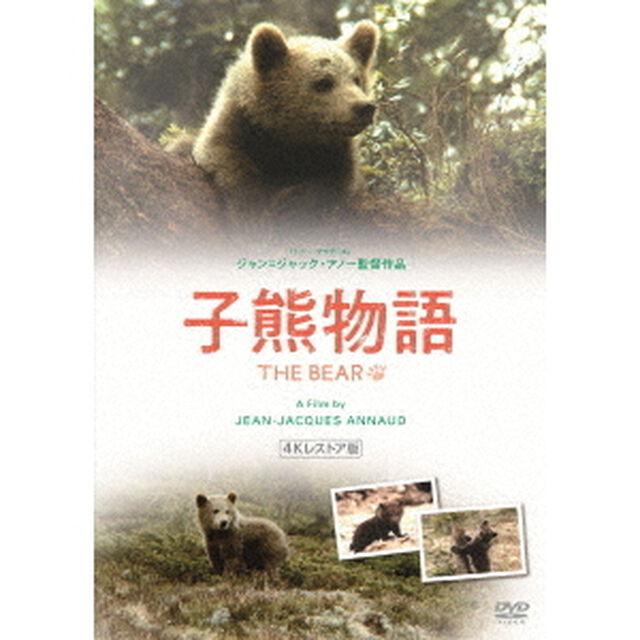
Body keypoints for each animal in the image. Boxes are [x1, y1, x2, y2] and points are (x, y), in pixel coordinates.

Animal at [177, 20, 380, 218]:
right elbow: (223, 156)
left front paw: (292, 202)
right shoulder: (237, 123)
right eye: (323, 82)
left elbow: (334, 181)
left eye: (356, 79)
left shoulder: (336, 153)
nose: (364, 107)